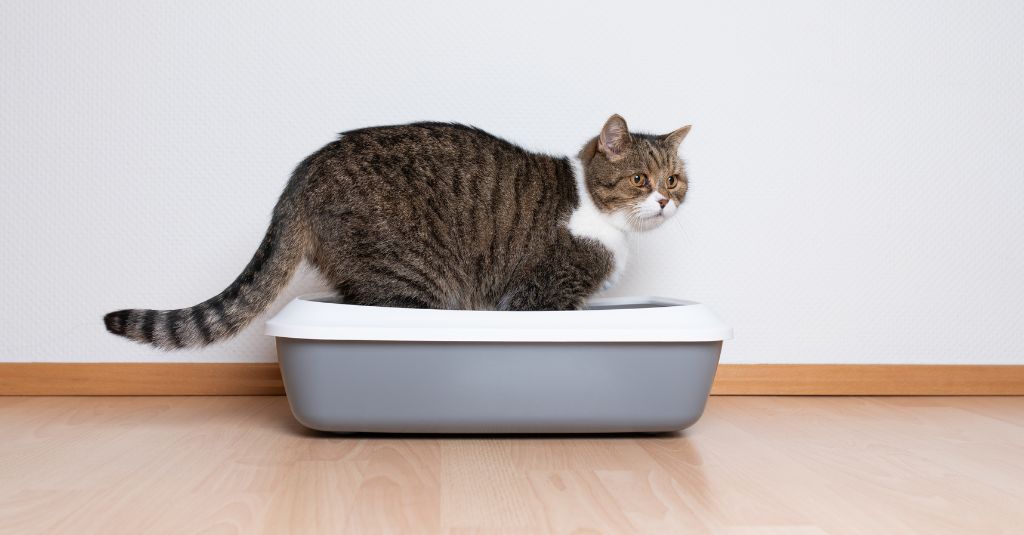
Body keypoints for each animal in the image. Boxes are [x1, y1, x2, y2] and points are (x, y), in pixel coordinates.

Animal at [103, 112, 692, 348]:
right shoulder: (540, 295)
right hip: (408, 275)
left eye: (674, 178)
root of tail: (302, 177)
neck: (601, 214)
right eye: (639, 179)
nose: (664, 198)